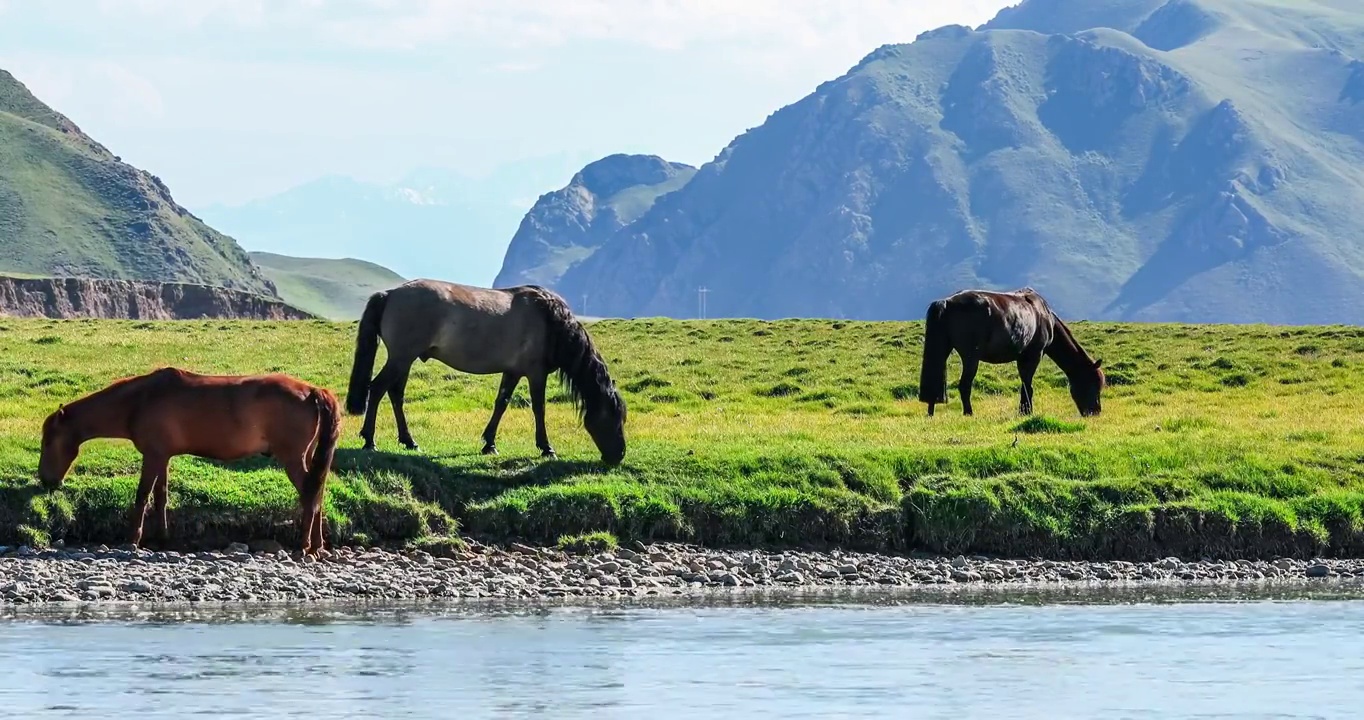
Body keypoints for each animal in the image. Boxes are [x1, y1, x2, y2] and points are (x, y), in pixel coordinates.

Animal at [38, 368, 341, 553]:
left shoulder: (153, 456)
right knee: (318, 493)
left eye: (48, 441)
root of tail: (312, 391)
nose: (45, 480)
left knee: (309, 496)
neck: (139, 401)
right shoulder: (162, 456)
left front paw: (133, 538)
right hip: (310, 458)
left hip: (292, 458)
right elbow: (161, 496)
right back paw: (317, 544)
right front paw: (162, 537)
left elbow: (142, 496)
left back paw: (304, 544)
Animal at [349, 278, 630, 463]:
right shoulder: (536, 373)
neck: (551, 322)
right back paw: (369, 440)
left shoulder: (513, 372)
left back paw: (409, 441)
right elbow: (539, 408)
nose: (619, 455)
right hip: (401, 357)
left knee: (395, 393)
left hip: (404, 360)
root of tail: (390, 293)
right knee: (377, 389)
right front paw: (546, 447)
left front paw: (489, 444)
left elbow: (501, 403)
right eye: (615, 419)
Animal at [911, 287, 1102, 417]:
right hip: (971, 358)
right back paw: (968, 413)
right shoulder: (1034, 355)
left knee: (935, 380)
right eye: (1093, 384)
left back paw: (931, 411)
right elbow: (1027, 385)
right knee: (964, 385)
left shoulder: (1022, 357)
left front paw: (1024, 410)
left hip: (944, 350)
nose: (1095, 412)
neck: (1042, 314)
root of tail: (947, 302)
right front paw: (1026, 411)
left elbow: (1024, 383)